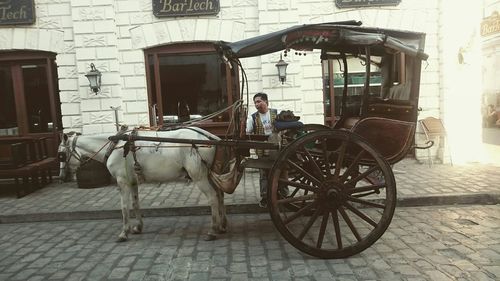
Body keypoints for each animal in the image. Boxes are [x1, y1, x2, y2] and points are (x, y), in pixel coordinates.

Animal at [58, 128, 227, 240]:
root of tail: (211, 138)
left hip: (199, 176)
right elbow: (135, 204)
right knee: (220, 194)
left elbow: (124, 207)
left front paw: (124, 232)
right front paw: (138, 227)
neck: (115, 146)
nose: (61, 177)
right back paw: (222, 225)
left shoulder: (122, 181)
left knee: (213, 197)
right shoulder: (132, 181)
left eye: (61, 155)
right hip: (208, 174)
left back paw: (213, 230)